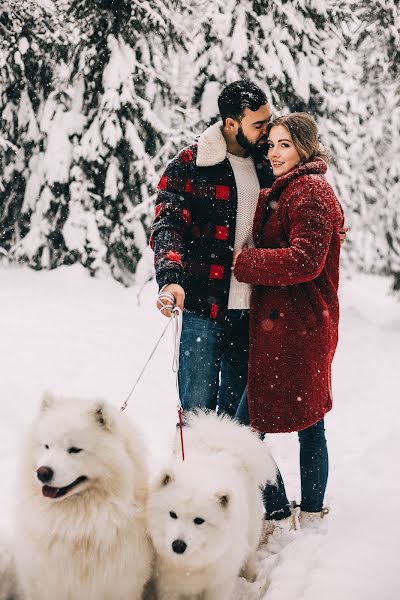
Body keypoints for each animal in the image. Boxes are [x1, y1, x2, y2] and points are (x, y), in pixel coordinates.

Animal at [13, 394, 153, 600]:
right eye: (46, 446)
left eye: (74, 449)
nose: (42, 473)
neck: (77, 525)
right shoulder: (49, 583)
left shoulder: (121, 583)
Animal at [145, 412, 276, 600]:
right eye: (172, 514)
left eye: (199, 520)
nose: (178, 545)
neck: (191, 565)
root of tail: (218, 444)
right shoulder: (168, 585)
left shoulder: (217, 584)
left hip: (251, 530)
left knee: (249, 552)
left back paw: (250, 576)